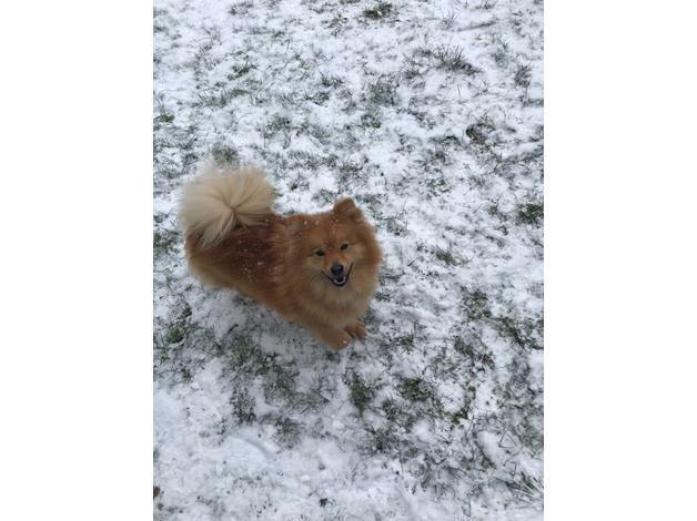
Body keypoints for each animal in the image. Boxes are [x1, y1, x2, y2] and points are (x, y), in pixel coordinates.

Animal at [179, 161, 384, 350]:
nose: (337, 268)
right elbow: (340, 339)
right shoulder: (317, 322)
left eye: (344, 246)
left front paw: (354, 326)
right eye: (319, 253)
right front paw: (345, 341)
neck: (334, 292)